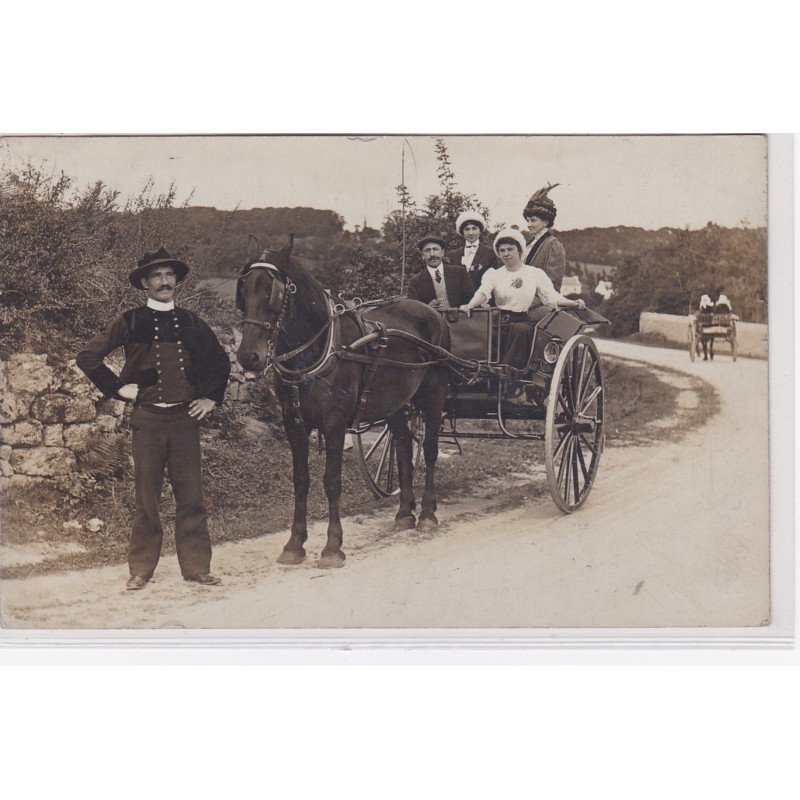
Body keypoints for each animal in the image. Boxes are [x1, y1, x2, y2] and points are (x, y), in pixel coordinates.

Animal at [236, 238, 450, 568]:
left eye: (275, 291)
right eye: (244, 288)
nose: (249, 356)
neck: (316, 353)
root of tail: (433, 312)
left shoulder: (334, 423)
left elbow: (331, 481)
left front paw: (332, 546)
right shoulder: (293, 424)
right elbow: (301, 480)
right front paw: (294, 544)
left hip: (433, 396)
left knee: (429, 450)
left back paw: (427, 512)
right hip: (396, 402)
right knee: (402, 445)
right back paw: (404, 512)